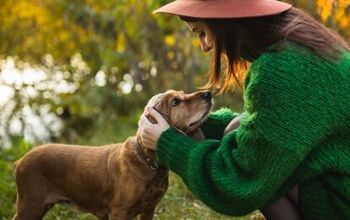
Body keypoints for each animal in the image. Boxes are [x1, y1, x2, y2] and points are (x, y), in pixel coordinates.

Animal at [12, 90, 212, 219]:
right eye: (175, 102)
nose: (208, 93)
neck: (150, 163)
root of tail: (19, 161)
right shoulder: (119, 211)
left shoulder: (149, 209)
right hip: (30, 205)